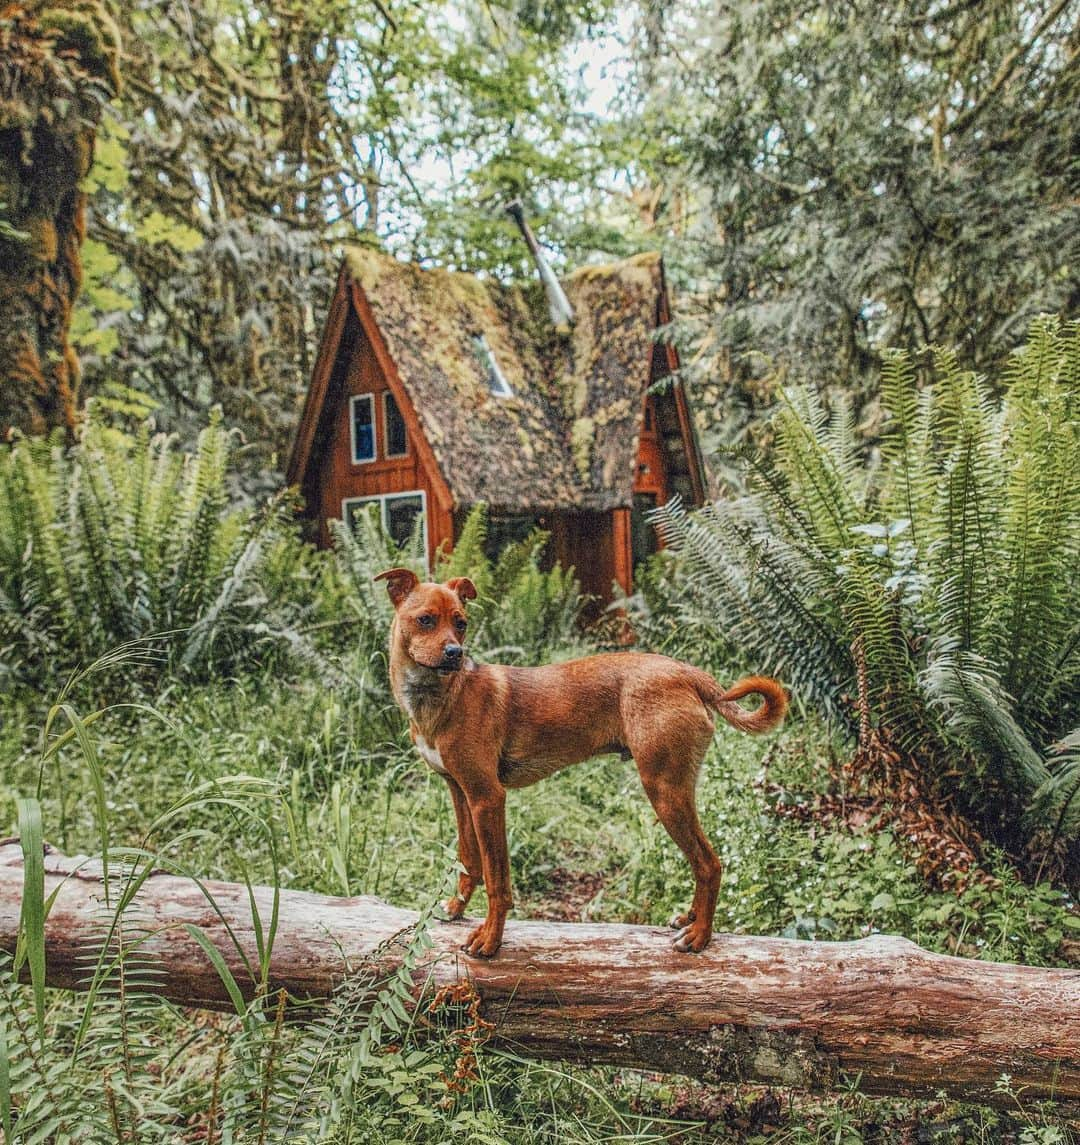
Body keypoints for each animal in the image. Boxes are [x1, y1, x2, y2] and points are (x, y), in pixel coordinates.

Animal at [373, 565, 783, 957]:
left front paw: (490, 939)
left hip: (665, 791)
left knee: (709, 863)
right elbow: (469, 860)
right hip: (676, 790)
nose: (455, 654)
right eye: (426, 620)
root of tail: (686, 672)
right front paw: (457, 908)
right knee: (702, 863)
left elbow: (497, 881)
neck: (442, 697)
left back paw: (700, 936)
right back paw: (692, 919)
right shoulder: (461, 793)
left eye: (461, 622)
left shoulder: (488, 798)